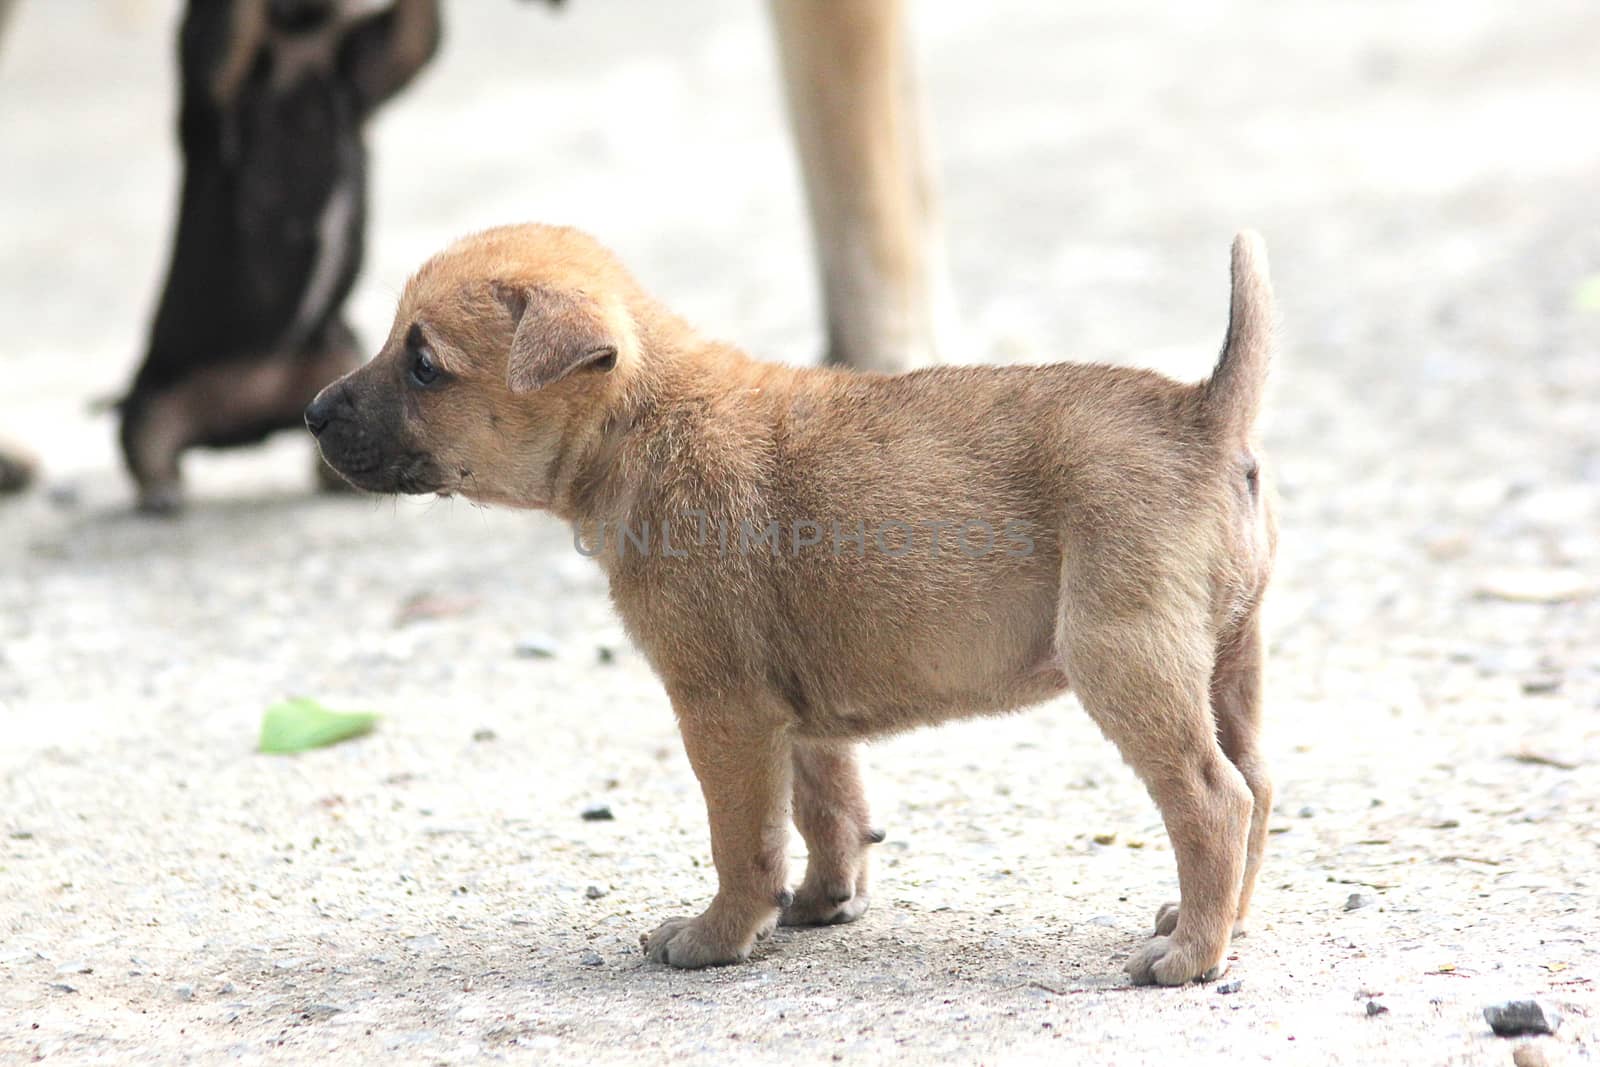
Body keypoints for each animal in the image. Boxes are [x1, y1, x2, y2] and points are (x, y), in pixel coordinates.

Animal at [120, 0, 438, 511]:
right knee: (145, 440)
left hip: (335, 354)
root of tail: (247, 424)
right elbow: (223, 33)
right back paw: (162, 493)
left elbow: (416, 34)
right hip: (154, 394)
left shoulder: (371, 63)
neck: (299, 36)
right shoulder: (213, 70)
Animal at [305, 223, 1280, 985]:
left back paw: (1190, 953)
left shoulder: (722, 710)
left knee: (1211, 798)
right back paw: (1222, 924)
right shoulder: (799, 713)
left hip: (1124, 661)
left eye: (423, 365)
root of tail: (1202, 414)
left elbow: (743, 838)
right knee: (1257, 784)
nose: (312, 412)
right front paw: (820, 901)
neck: (647, 421)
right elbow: (828, 809)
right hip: (1225, 665)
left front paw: (718, 933)